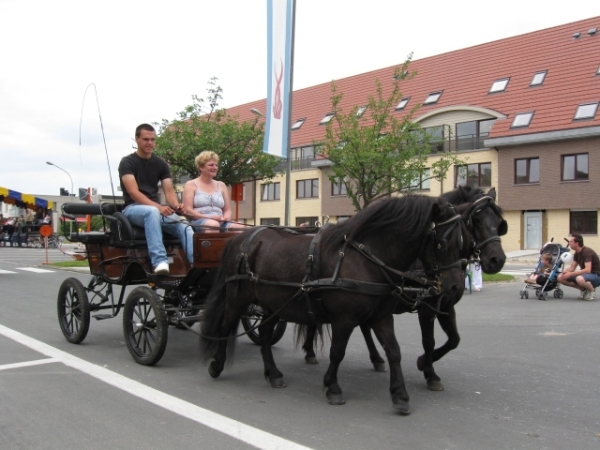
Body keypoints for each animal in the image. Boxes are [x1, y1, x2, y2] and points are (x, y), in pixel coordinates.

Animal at [199, 195, 466, 414]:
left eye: (463, 241)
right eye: (442, 243)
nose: (454, 287)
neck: (366, 258)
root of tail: (241, 237)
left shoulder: (381, 316)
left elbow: (394, 351)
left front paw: (400, 394)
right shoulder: (344, 319)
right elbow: (337, 352)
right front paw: (333, 387)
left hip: (272, 303)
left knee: (264, 333)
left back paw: (273, 374)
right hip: (238, 299)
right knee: (225, 326)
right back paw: (217, 365)